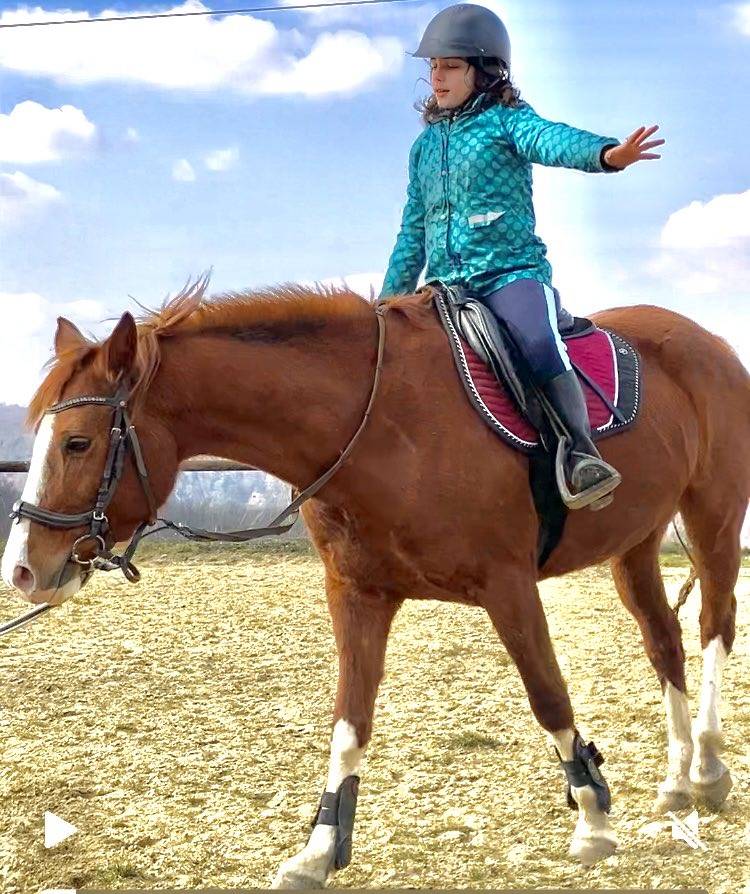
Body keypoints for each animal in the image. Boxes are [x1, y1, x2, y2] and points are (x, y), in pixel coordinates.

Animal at [1, 273, 747, 884]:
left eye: (78, 442)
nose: (24, 570)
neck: (380, 425)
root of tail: (707, 341)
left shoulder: (508, 586)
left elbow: (548, 696)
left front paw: (592, 816)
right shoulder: (359, 597)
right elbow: (349, 720)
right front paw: (317, 850)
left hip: (713, 519)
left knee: (712, 628)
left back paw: (709, 769)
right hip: (636, 545)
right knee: (664, 642)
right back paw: (678, 781)